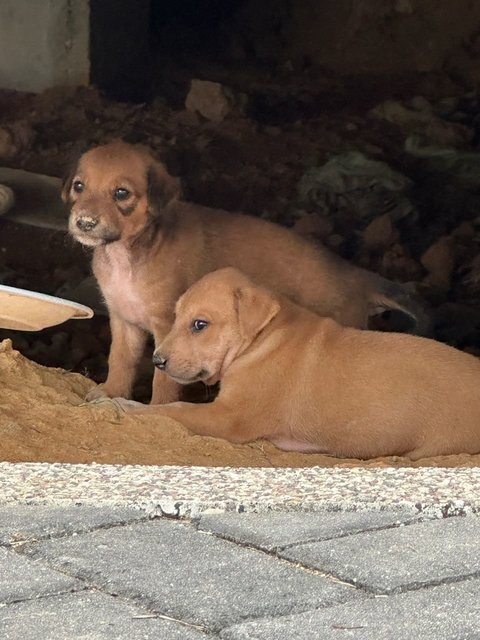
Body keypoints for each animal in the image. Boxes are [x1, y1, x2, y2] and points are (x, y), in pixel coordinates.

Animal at [63, 139, 428, 404]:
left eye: (121, 193)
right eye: (79, 187)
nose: (85, 223)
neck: (127, 254)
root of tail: (355, 275)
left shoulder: (167, 327)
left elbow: (164, 380)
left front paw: (155, 410)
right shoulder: (123, 321)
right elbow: (120, 361)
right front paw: (110, 392)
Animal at [113, 266, 480, 460]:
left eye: (200, 324)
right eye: (176, 318)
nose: (157, 360)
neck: (264, 338)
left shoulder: (228, 418)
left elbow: (175, 410)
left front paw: (129, 407)